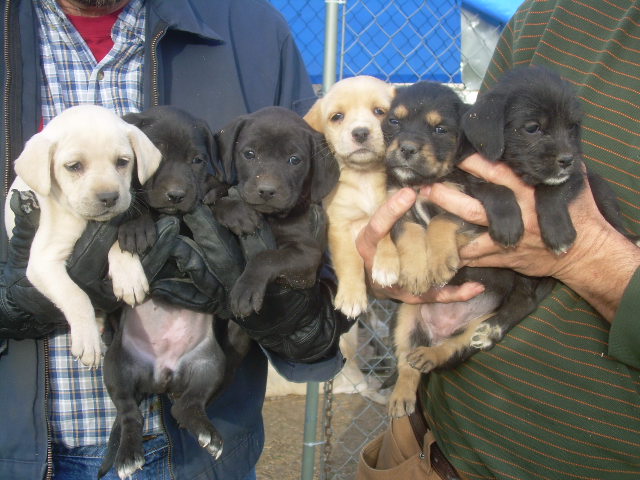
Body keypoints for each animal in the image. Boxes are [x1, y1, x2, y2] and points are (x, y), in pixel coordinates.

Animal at [4, 104, 161, 367]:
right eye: (74, 166)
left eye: (122, 162)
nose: (109, 197)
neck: (84, 221)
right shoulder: (43, 263)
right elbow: (76, 296)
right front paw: (88, 341)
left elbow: (118, 242)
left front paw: (129, 277)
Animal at [99, 106, 249, 479]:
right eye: (154, 159)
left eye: (197, 160)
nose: (177, 195)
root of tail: (162, 378)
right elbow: (134, 203)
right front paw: (135, 226)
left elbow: (214, 192)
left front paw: (232, 206)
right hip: (116, 366)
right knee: (129, 414)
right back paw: (128, 455)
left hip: (210, 364)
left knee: (186, 407)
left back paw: (207, 433)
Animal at [211, 106, 339, 318]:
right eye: (249, 154)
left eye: (294, 160)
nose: (266, 190)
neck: (271, 218)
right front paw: (237, 213)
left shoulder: (307, 255)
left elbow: (267, 257)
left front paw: (246, 289)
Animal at [304, 75, 396, 319]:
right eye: (337, 117)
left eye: (379, 111)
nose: (361, 132)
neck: (364, 177)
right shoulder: (340, 225)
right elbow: (348, 261)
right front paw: (351, 297)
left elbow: (386, 233)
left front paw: (386, 265)